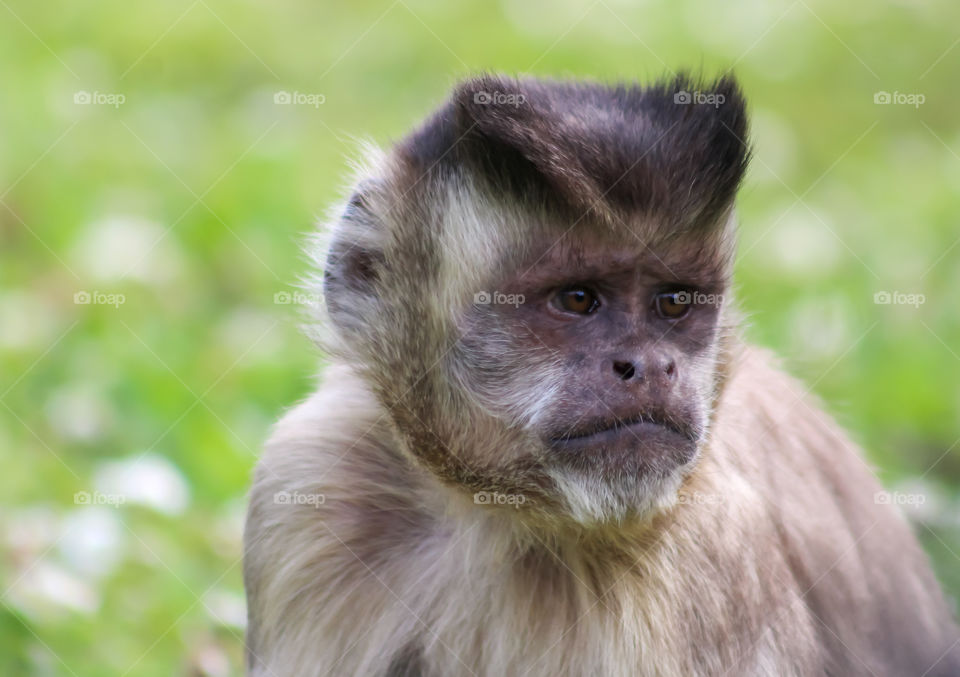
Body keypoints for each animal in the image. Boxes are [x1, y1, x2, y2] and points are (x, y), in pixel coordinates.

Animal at [242, 73, 960, 677]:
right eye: (577, 298)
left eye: (673, 303)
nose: (651, 365)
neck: (495, 511)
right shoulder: (313, 476)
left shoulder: (713, 549)